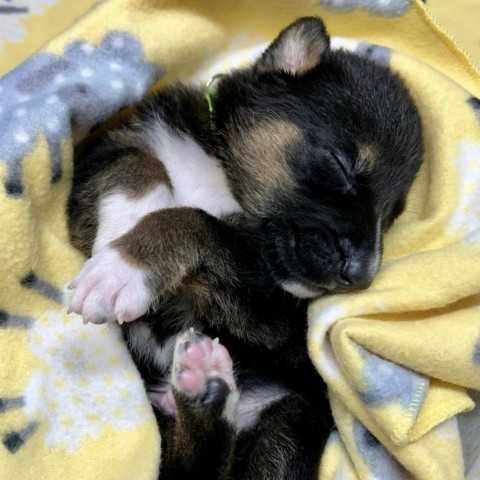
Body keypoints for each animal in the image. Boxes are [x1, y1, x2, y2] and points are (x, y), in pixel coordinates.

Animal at [66, 16, 420, 478]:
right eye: (342, 165)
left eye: (392, 216)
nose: (360, 276)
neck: (221, 175)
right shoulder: (99, 162)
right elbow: (138, 163)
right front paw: (121, 230)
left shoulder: (276, 315)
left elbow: (194, 220)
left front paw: (122, 269)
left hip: (290, 420)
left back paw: (206, 390)